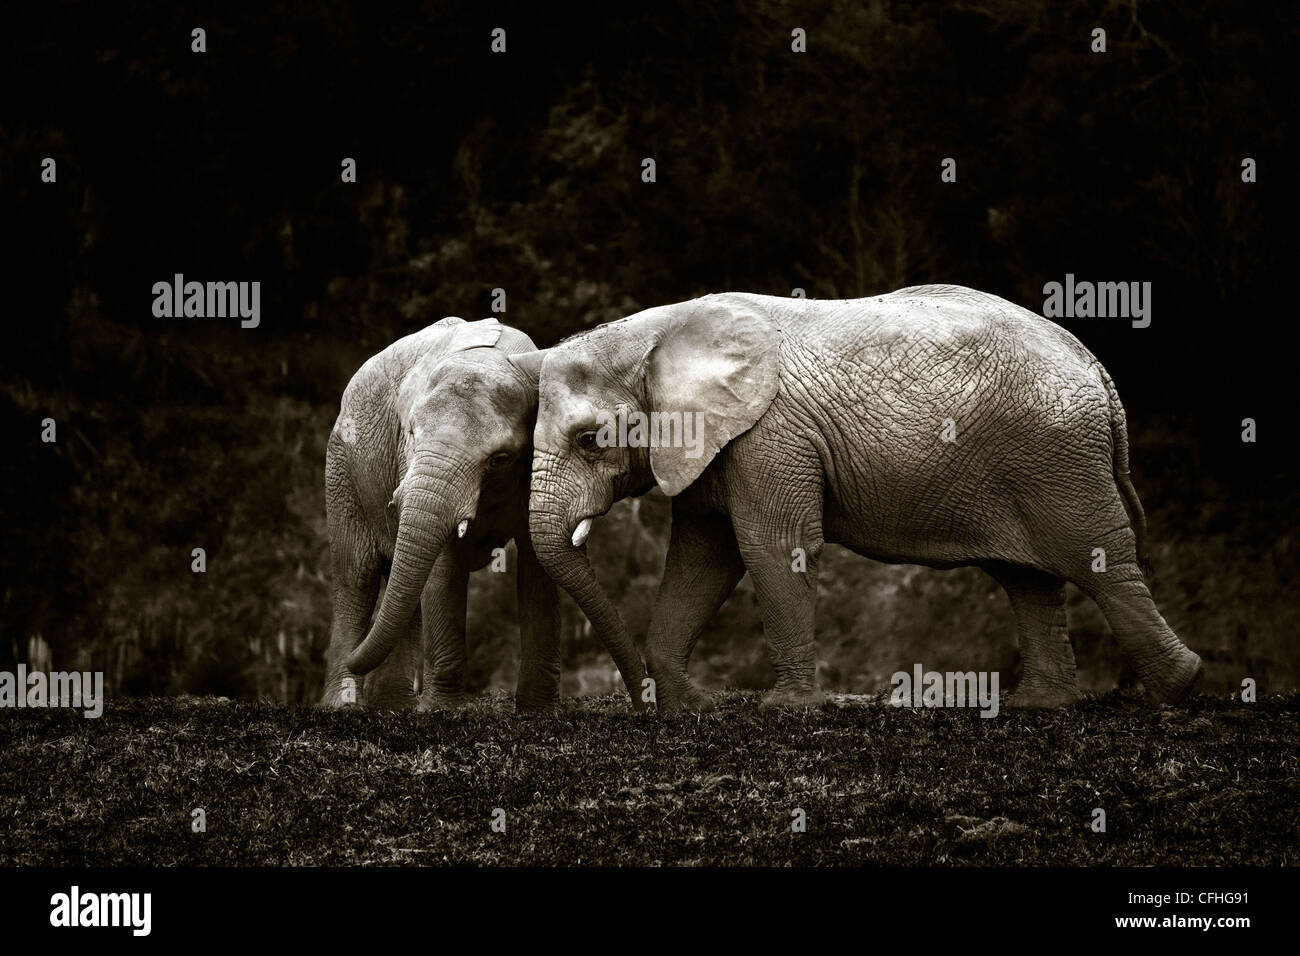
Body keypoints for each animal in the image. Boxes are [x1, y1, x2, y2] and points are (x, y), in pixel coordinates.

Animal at [321, 317, 564, 712]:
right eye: (410, 433)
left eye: (499, 459)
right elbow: (443, 569)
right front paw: (439, 711)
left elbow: (538, 565)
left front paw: (538, 710)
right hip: (342, 468)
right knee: (356, 576)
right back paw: (344, 705)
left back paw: (393, 704)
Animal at [522, 283, 1201, 712]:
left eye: (589, 440)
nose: (639, 703)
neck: (656, 333)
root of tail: (1096, 369)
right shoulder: (712, 442)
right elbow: (703, 557)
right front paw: (690, 708)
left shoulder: (771, 432)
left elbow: (772, 547)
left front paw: (784, 709)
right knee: (1027, 578)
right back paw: (1039, 706)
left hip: (1057, 456)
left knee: (1097, 561)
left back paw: (1172, 691)